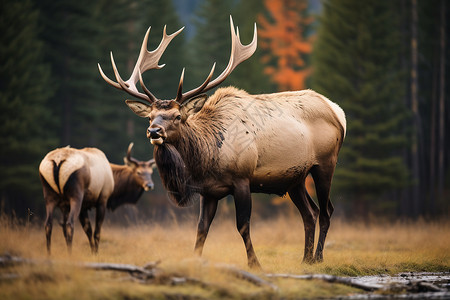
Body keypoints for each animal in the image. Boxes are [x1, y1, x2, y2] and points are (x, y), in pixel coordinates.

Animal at [97, 16, 344, 268]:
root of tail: (336, 110)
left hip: (325, 163)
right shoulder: (209, 192)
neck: (206, 160)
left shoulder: (242, 179)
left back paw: (318, 257)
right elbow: (201, 229)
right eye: (150, 116)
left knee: (327, 211)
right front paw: (195, 260)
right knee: (310, 213)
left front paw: (254, 263)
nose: (154, 131)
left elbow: (242, 225)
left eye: (177, 116)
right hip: (295, 177)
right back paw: (306, 259)